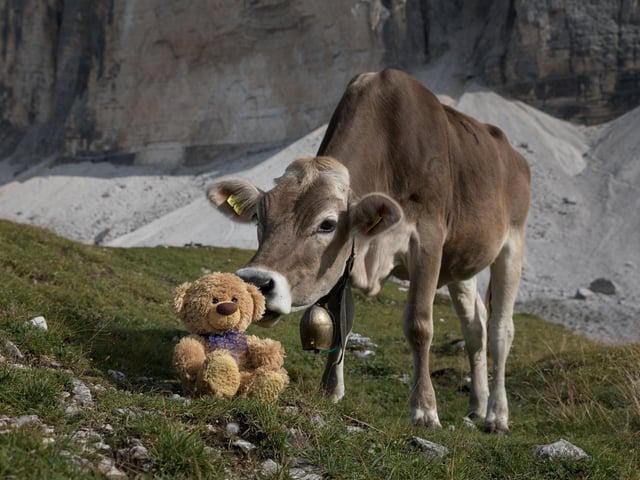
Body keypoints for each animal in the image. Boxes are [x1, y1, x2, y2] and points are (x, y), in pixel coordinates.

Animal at [207, 68, 530, 433]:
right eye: (260, 217)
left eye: (328, 224)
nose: (256, 282)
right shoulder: (348, 259)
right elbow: (341, 322)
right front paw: (330, 390)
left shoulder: (428, 239)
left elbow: (419, 326)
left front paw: (425, 409)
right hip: (460, 264)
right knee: (475, 328)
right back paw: (476, 406)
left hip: (512, 244)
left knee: (501, 330)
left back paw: (497, 415)